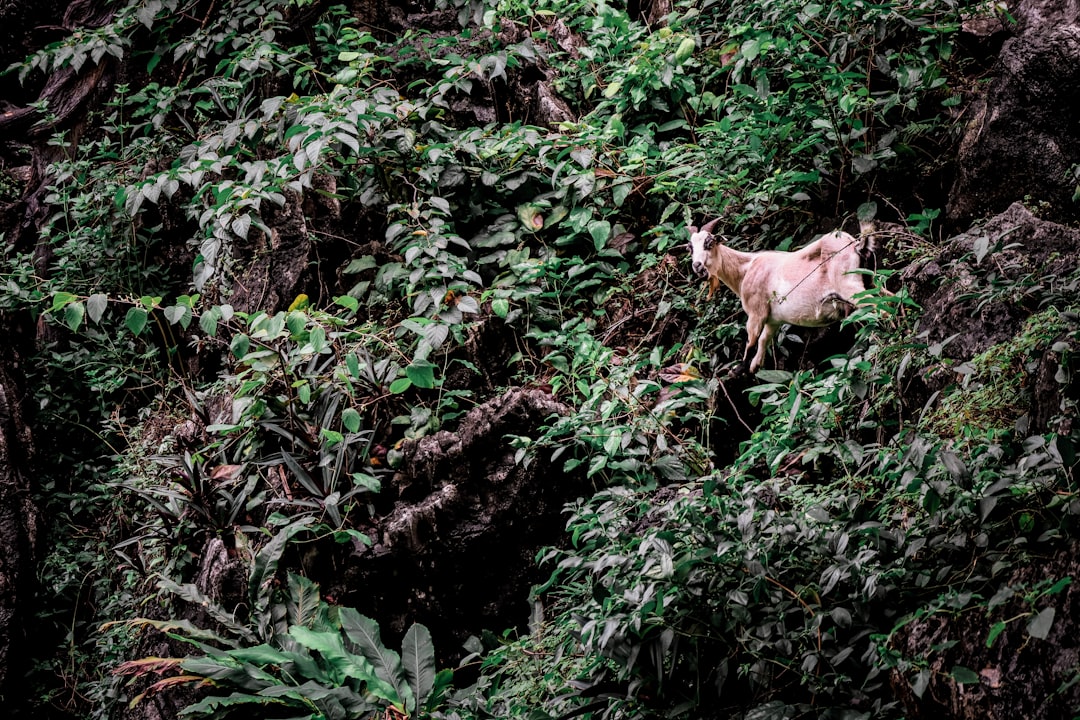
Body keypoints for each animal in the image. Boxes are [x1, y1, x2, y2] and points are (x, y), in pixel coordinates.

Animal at [691, 220, 876, 375]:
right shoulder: (774, 320)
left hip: (849, 286)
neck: (746, 268)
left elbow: (752, 340)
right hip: (869, 281)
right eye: (690, 247)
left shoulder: (756, 312)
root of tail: (856, 245)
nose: (697, 266)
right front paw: (754, 366)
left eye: (709, 243)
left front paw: (738, 369)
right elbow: (763, 340)